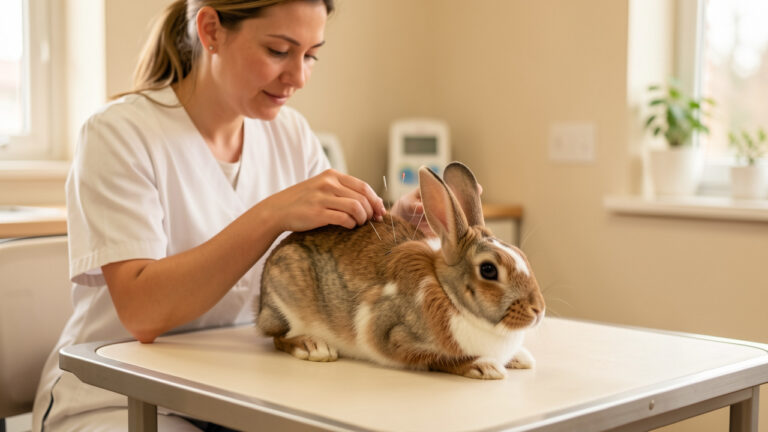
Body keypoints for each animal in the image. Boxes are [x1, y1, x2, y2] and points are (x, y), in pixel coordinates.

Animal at [256, 162, 545, 379]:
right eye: (488, 270)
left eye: (522, 256)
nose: (538, 310)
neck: (447, 294)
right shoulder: (394, 336)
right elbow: (440, 359)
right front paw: (484, 366)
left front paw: (521, 358)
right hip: (286, 291)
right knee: (277, 336)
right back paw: (313, 347)